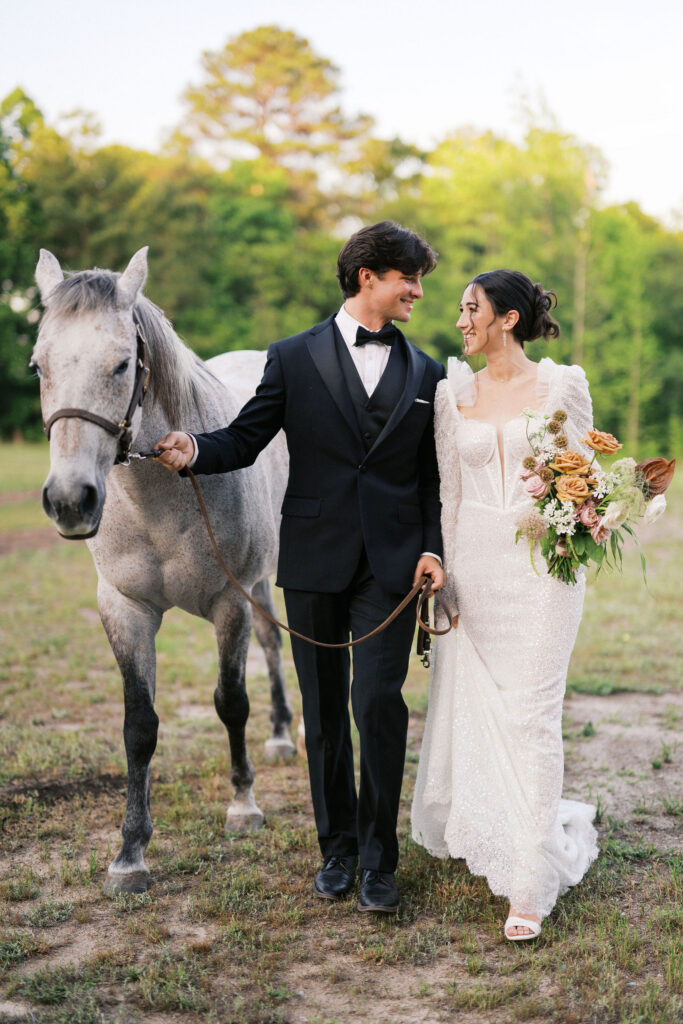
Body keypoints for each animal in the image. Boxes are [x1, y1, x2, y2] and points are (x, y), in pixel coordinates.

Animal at [32, 246, 295, 894]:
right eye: (37, 366)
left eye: (123, 364)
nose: (71, 500)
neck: (160, 499)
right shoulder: (125, 610)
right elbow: (139, 726)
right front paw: (130, 854)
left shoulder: (229, 602)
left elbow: (231, 702)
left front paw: (243, 806)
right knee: (273, 644)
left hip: (260, 580)